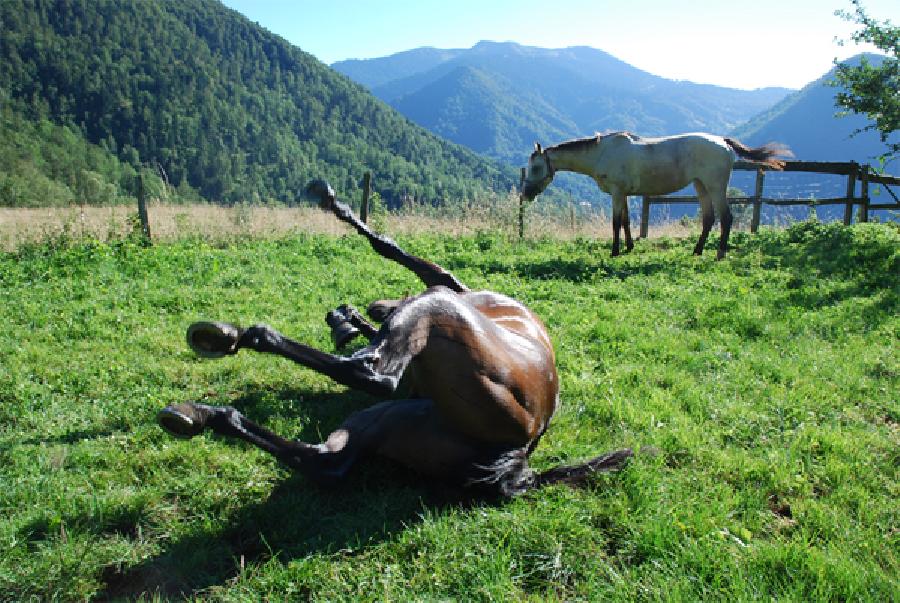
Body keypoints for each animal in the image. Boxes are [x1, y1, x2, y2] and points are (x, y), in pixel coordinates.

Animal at [156, 180, 632, 500]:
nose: (353, 311)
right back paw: (201, 414)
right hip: (395, 422)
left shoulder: (444, 285)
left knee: (370, 377)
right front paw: (347, 323)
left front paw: (334, 205)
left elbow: (390, 248)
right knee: (329, 462)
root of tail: (520, 458)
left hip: (436, 314)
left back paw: (231, 342)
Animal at [520, 133, 788, 260]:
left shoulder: (617, 192)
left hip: (715, 187)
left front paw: (615, 251)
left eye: (536, 167)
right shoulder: (624, 194)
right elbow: (626, 221)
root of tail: (723, 141)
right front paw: (628, 247)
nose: (526, 194)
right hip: (700, 186)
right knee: (709, 219)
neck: (602, 152)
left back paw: (719, 254)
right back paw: (697, 251)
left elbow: (616, 223)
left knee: (726, 218)